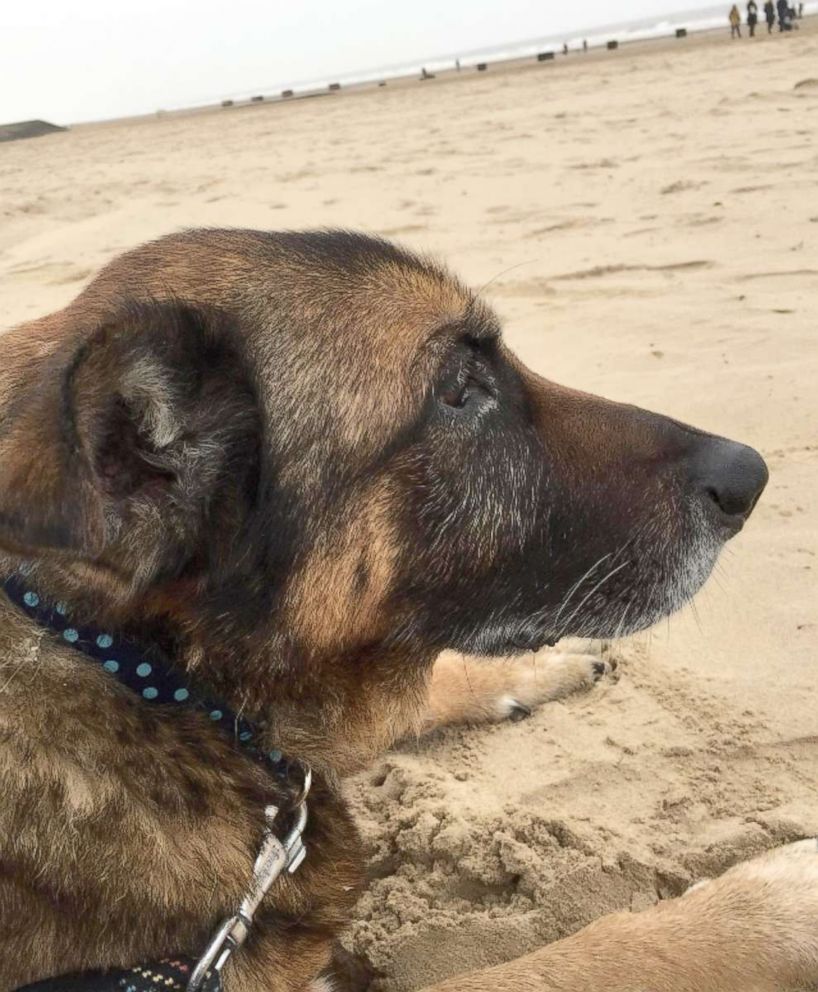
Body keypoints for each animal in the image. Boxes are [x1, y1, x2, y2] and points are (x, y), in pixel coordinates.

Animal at [1, 225, 808, 992]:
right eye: (457, 391)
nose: (751, 475)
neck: (133, 667)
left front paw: (533, 670)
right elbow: (588, 957)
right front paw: (772, 902)